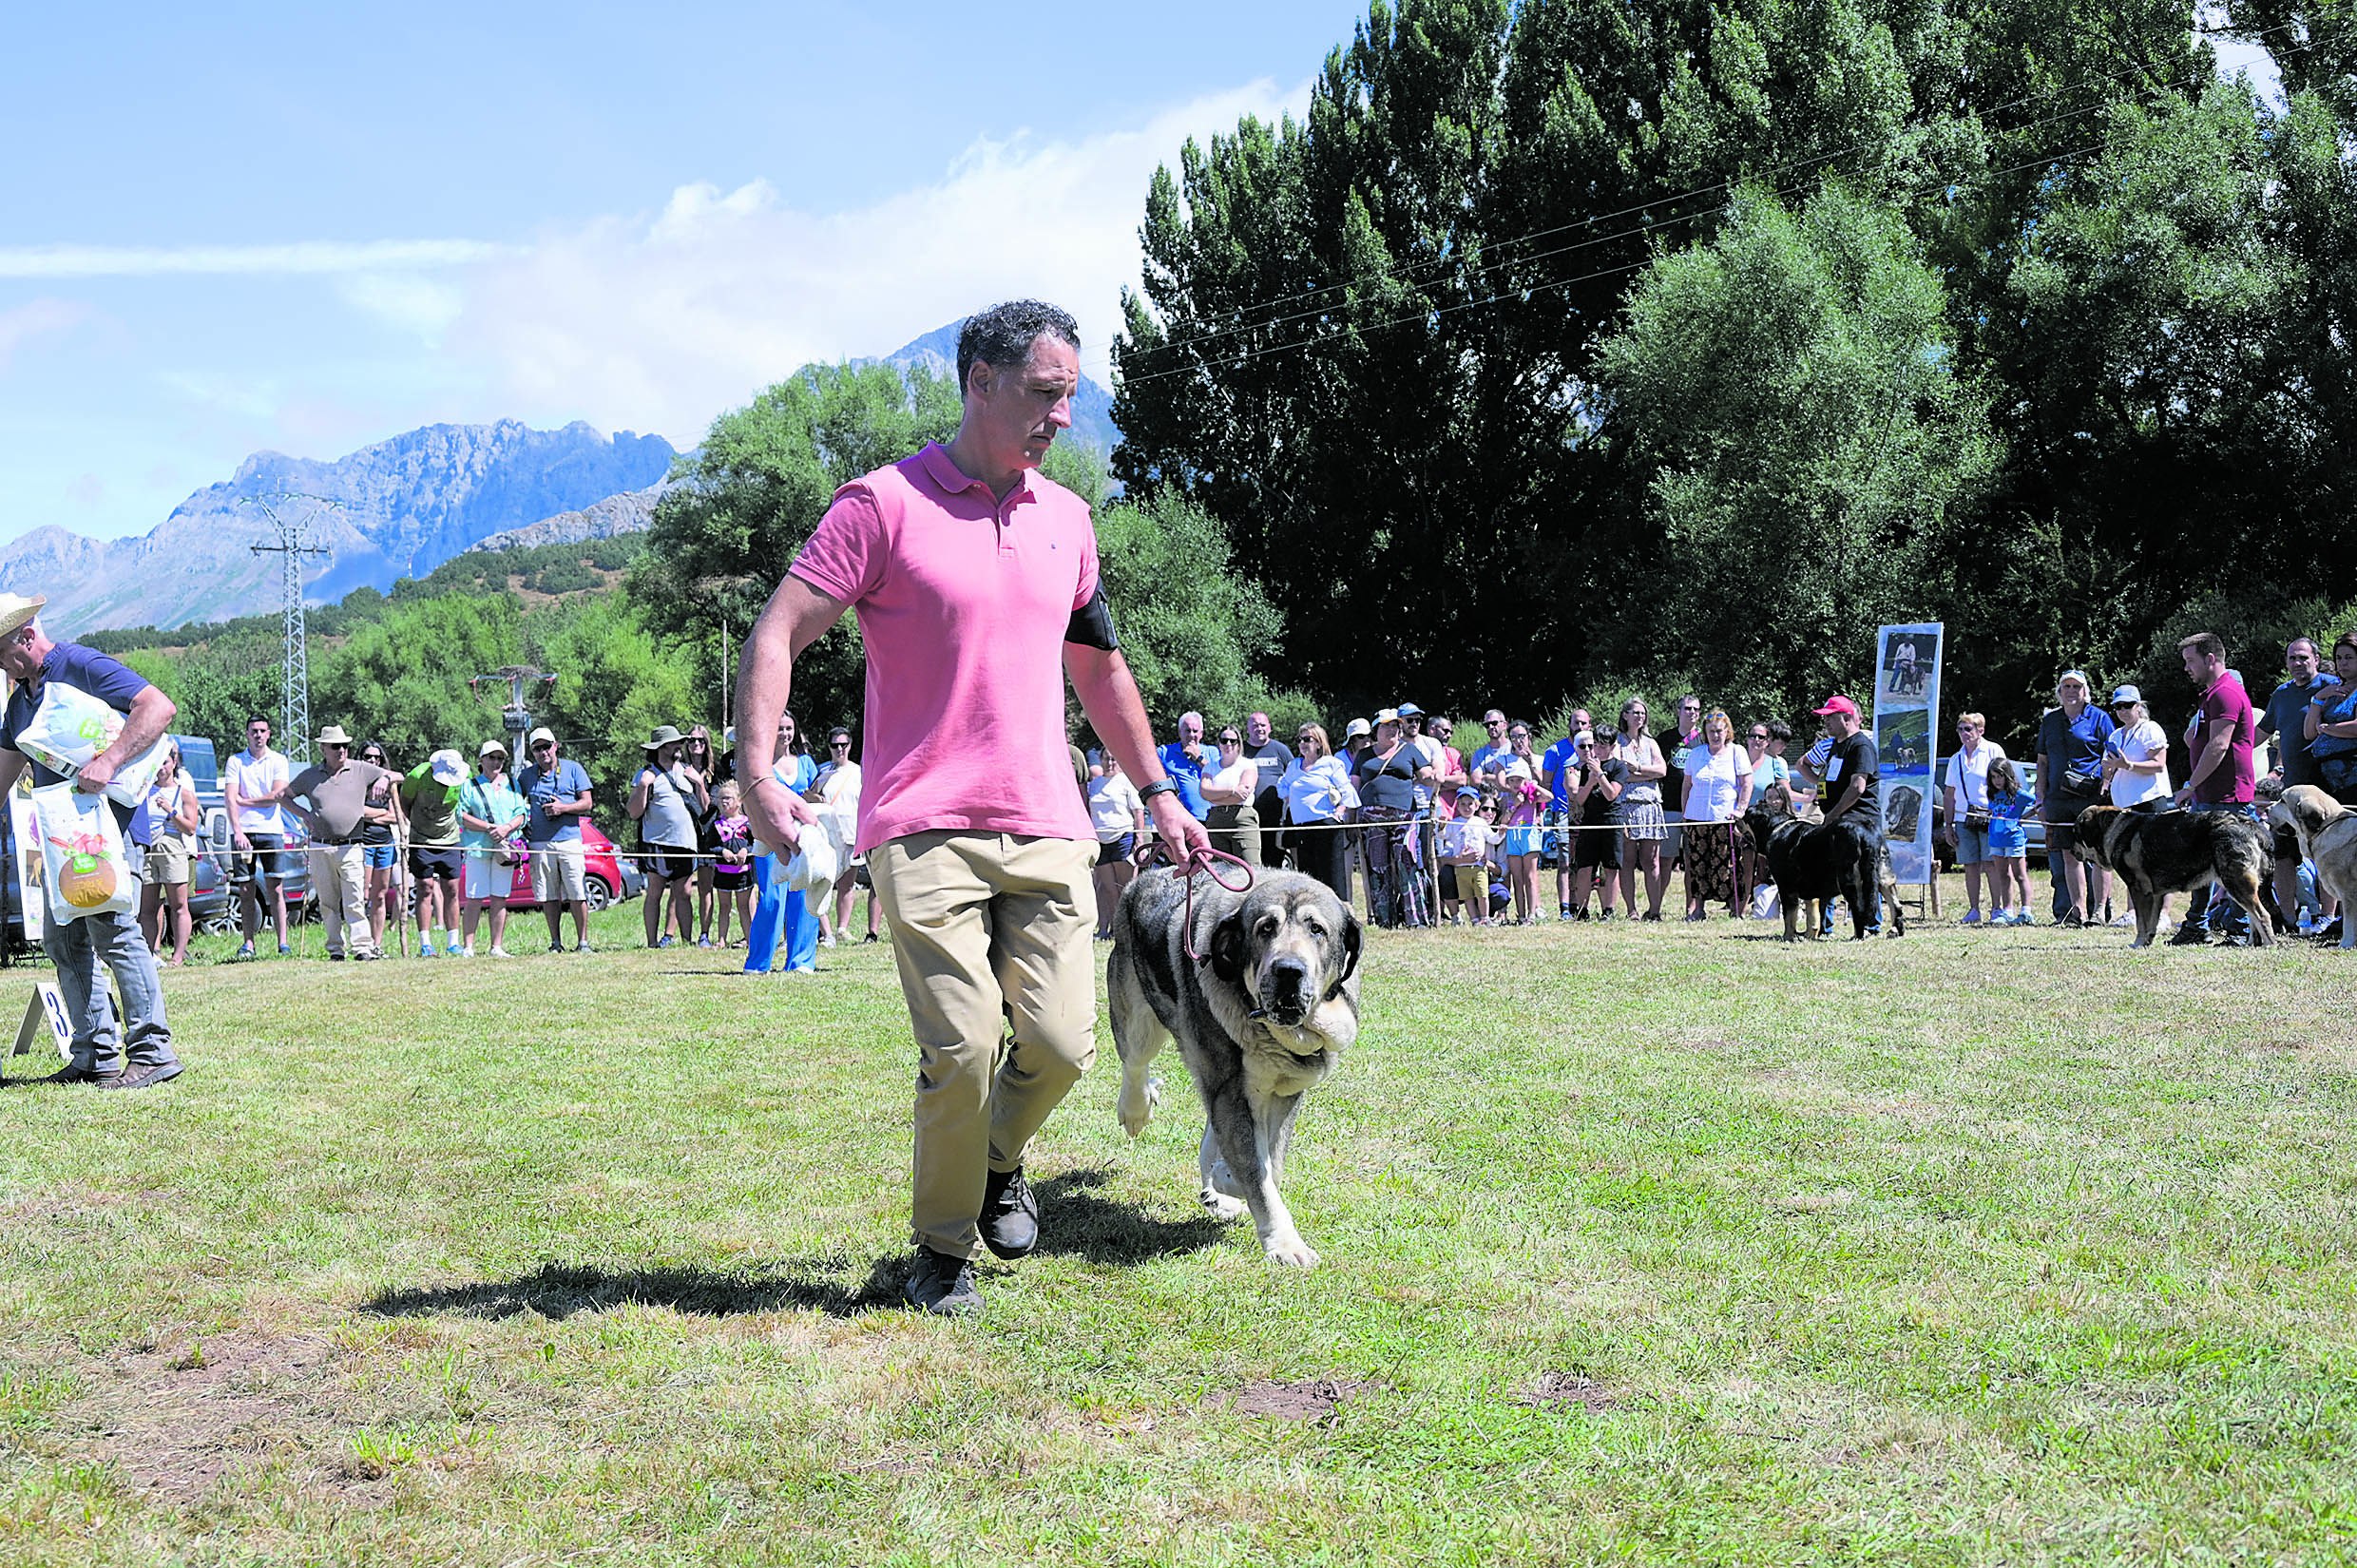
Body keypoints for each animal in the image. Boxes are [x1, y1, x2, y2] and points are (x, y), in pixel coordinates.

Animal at [1102, 863, 1367, 1263]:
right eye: (1265, 928)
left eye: (1316, 929)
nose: (1288, 970)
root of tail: (1149, 873)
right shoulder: (1234, 1091)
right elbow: (1257, 1172)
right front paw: (1285, 1244)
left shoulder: (1282, 1092)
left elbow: (1270, 1162)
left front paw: (1226, 1180)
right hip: (1137, 1019)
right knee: (1135, 1063)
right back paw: (1136, 1110)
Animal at [1744, 782, 1904, 943]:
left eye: (1746, 815)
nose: (1737, 817)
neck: (1776, 827)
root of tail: (1866, 831)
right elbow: (1813, 917)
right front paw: (1808, 935)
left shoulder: (1786, 887)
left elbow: (1789, 916)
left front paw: (1788, 937)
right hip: (1884, 877)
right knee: (1896, 906)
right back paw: (1897, 932)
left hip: (1850, 882)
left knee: (1859, 911)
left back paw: (1858, 937)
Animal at [2074, 801, 2271, 947]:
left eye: (2076, 833)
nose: (2070, 849)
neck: (2113, 828)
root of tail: (2247, 822)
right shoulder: (2156, 895)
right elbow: (2151, 923)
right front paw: (2147, 942)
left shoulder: (2139, 890)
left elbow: (2141, 922)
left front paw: (2138, 943)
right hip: (2237, 886)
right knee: (2253, 917)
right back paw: (2251, 944)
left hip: (2236, 882)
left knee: (2262, 915)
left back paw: (2269, 944)